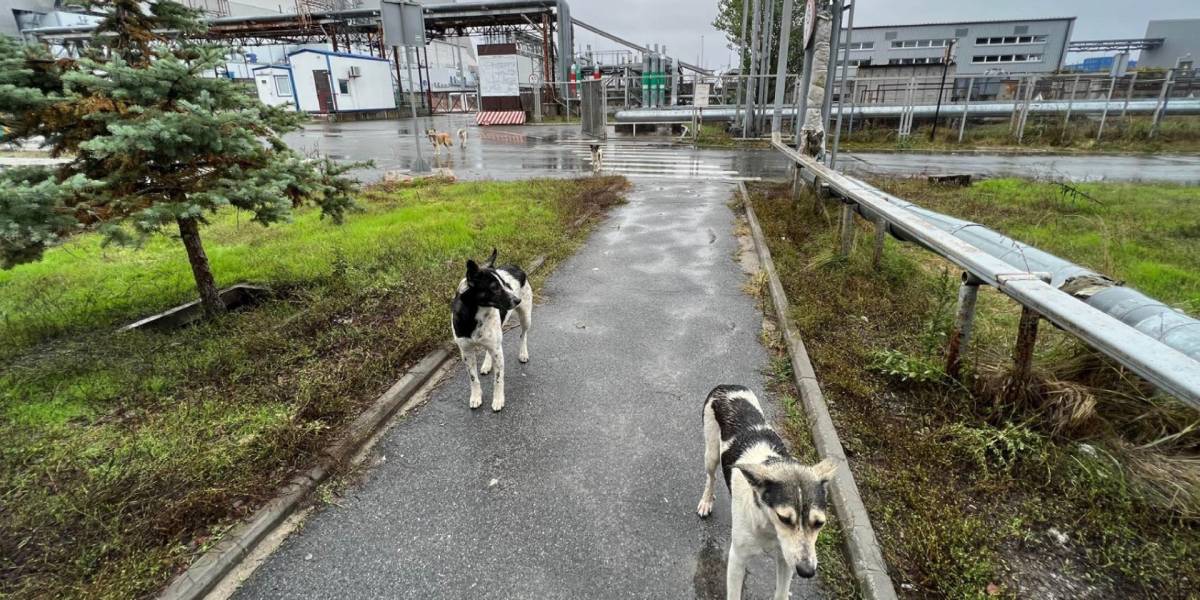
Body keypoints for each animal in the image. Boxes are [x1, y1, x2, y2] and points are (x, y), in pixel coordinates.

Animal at [451, 248, 530, 412]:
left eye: (505, 284)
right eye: (494, 287)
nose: (517, 300)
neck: (474, 314)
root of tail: (516, 266)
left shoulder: (497, 350)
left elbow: (498, 379)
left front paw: (498, 399)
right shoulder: (466, 352)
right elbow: (473, 378)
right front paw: (476, 396)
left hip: (526, 317)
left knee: (523, 334)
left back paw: (523, 353)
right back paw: (487, 365)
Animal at [700, 386, 840, 597]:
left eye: (819, 523)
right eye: (784, 518)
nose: (807, 572)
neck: (768, 524)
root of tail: (727, 386)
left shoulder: (786, 560)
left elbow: (781, 592)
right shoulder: (737, 558)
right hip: (712, 453)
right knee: (711, 477)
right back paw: (706, 501)